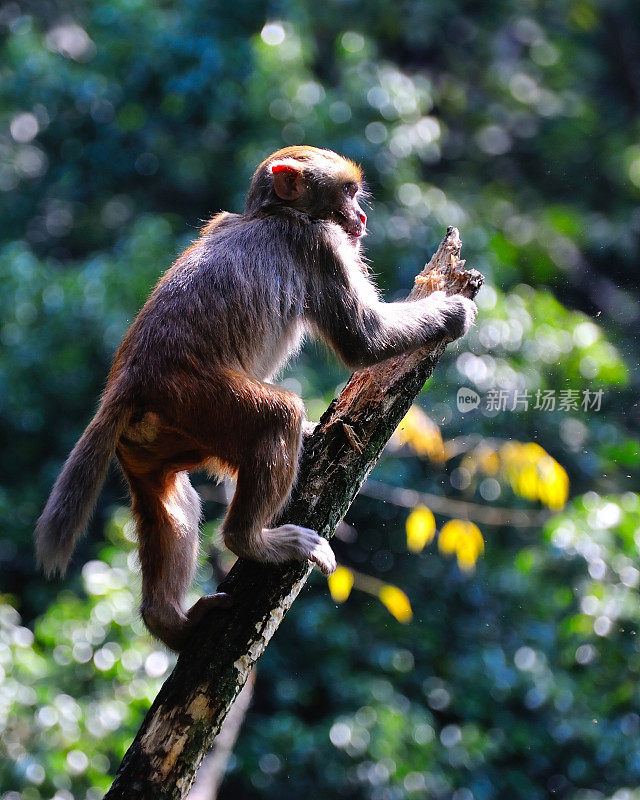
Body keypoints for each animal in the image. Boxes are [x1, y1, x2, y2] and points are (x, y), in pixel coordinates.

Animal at [35, 145, 476, 648]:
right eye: (347, 192)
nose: (361, 216)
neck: (272, 213)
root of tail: (129, 382)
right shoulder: (321, 246)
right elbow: (365, 340)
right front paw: (453, 311)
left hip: (157, 439)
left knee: (173, 502)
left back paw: (170, 621)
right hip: (197, 400)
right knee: (277, 416)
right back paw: (251, 541)